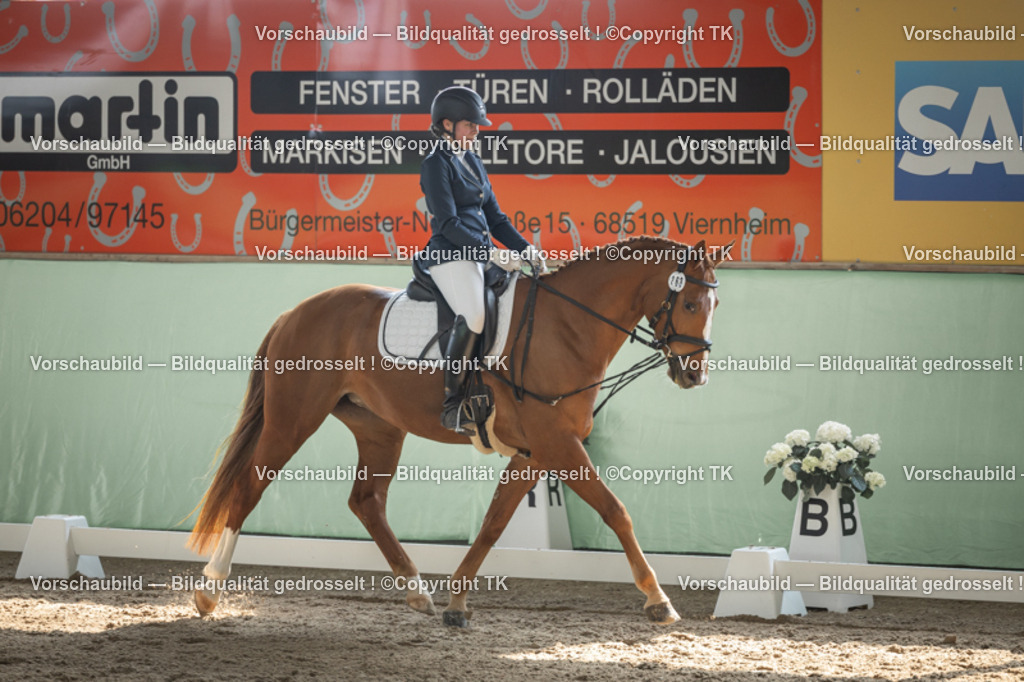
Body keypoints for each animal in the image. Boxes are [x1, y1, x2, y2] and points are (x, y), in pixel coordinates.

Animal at [187, 236, 728, 627]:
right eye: (691, 305)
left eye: (714, 306)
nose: (695, 375)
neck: (567, 326)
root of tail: (293, 313)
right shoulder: (559, 445)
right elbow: (616, 511)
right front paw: (658, 600)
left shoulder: (535, 452)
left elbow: (493, 523)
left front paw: (455, 601)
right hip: (293, 419)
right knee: (249, 487)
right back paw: (210, 591)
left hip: (379, 428)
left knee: (366, 502)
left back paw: (417, 593)